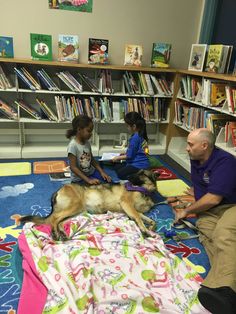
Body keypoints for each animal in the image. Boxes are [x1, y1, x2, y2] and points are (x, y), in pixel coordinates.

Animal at [19, 169, 158, 240]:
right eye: (138, 173)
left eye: (142, 174)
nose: (128, 177)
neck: (143, 190)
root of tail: (59, 189)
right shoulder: (127, 204)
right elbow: (139, 218)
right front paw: (144, 229)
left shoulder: (133, 210)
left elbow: (151, 221)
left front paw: (150, 228)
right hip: (74, 206)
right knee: (54, 219)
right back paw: (55, 233)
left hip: (77, 211)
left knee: (60, 221)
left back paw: (62, 233)